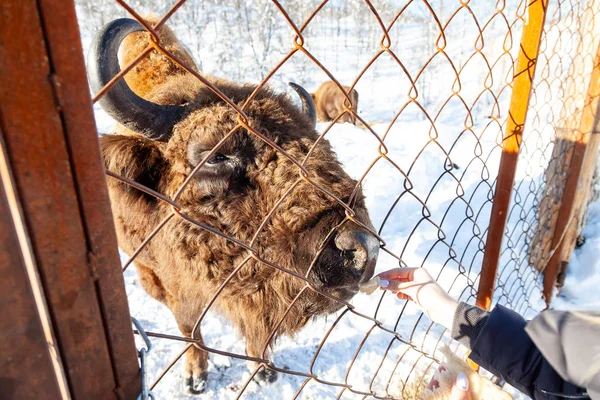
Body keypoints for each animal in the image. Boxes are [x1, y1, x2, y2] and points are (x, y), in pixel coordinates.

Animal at [88, 17, 380, 392]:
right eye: (215, 155)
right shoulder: (160, 280)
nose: (363, 248)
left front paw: (264, 369)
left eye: (318, 144)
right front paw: (195, 377)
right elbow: (190, 326)